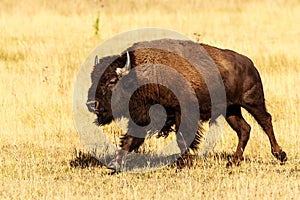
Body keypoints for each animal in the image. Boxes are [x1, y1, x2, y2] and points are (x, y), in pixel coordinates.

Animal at [86, 38, 286, 170]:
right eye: (94, 79)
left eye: (112, 81)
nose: (91, 103)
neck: (141, 74)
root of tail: (249, 63)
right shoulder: (143, 117)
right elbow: (129, 139)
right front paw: (114, 164)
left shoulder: (183, 113)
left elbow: (183, 138)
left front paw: (183, 164)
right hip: (231, 110)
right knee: (244, 129)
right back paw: (233, 162)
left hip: (252, 102)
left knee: (266, 121)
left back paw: (280, 154)